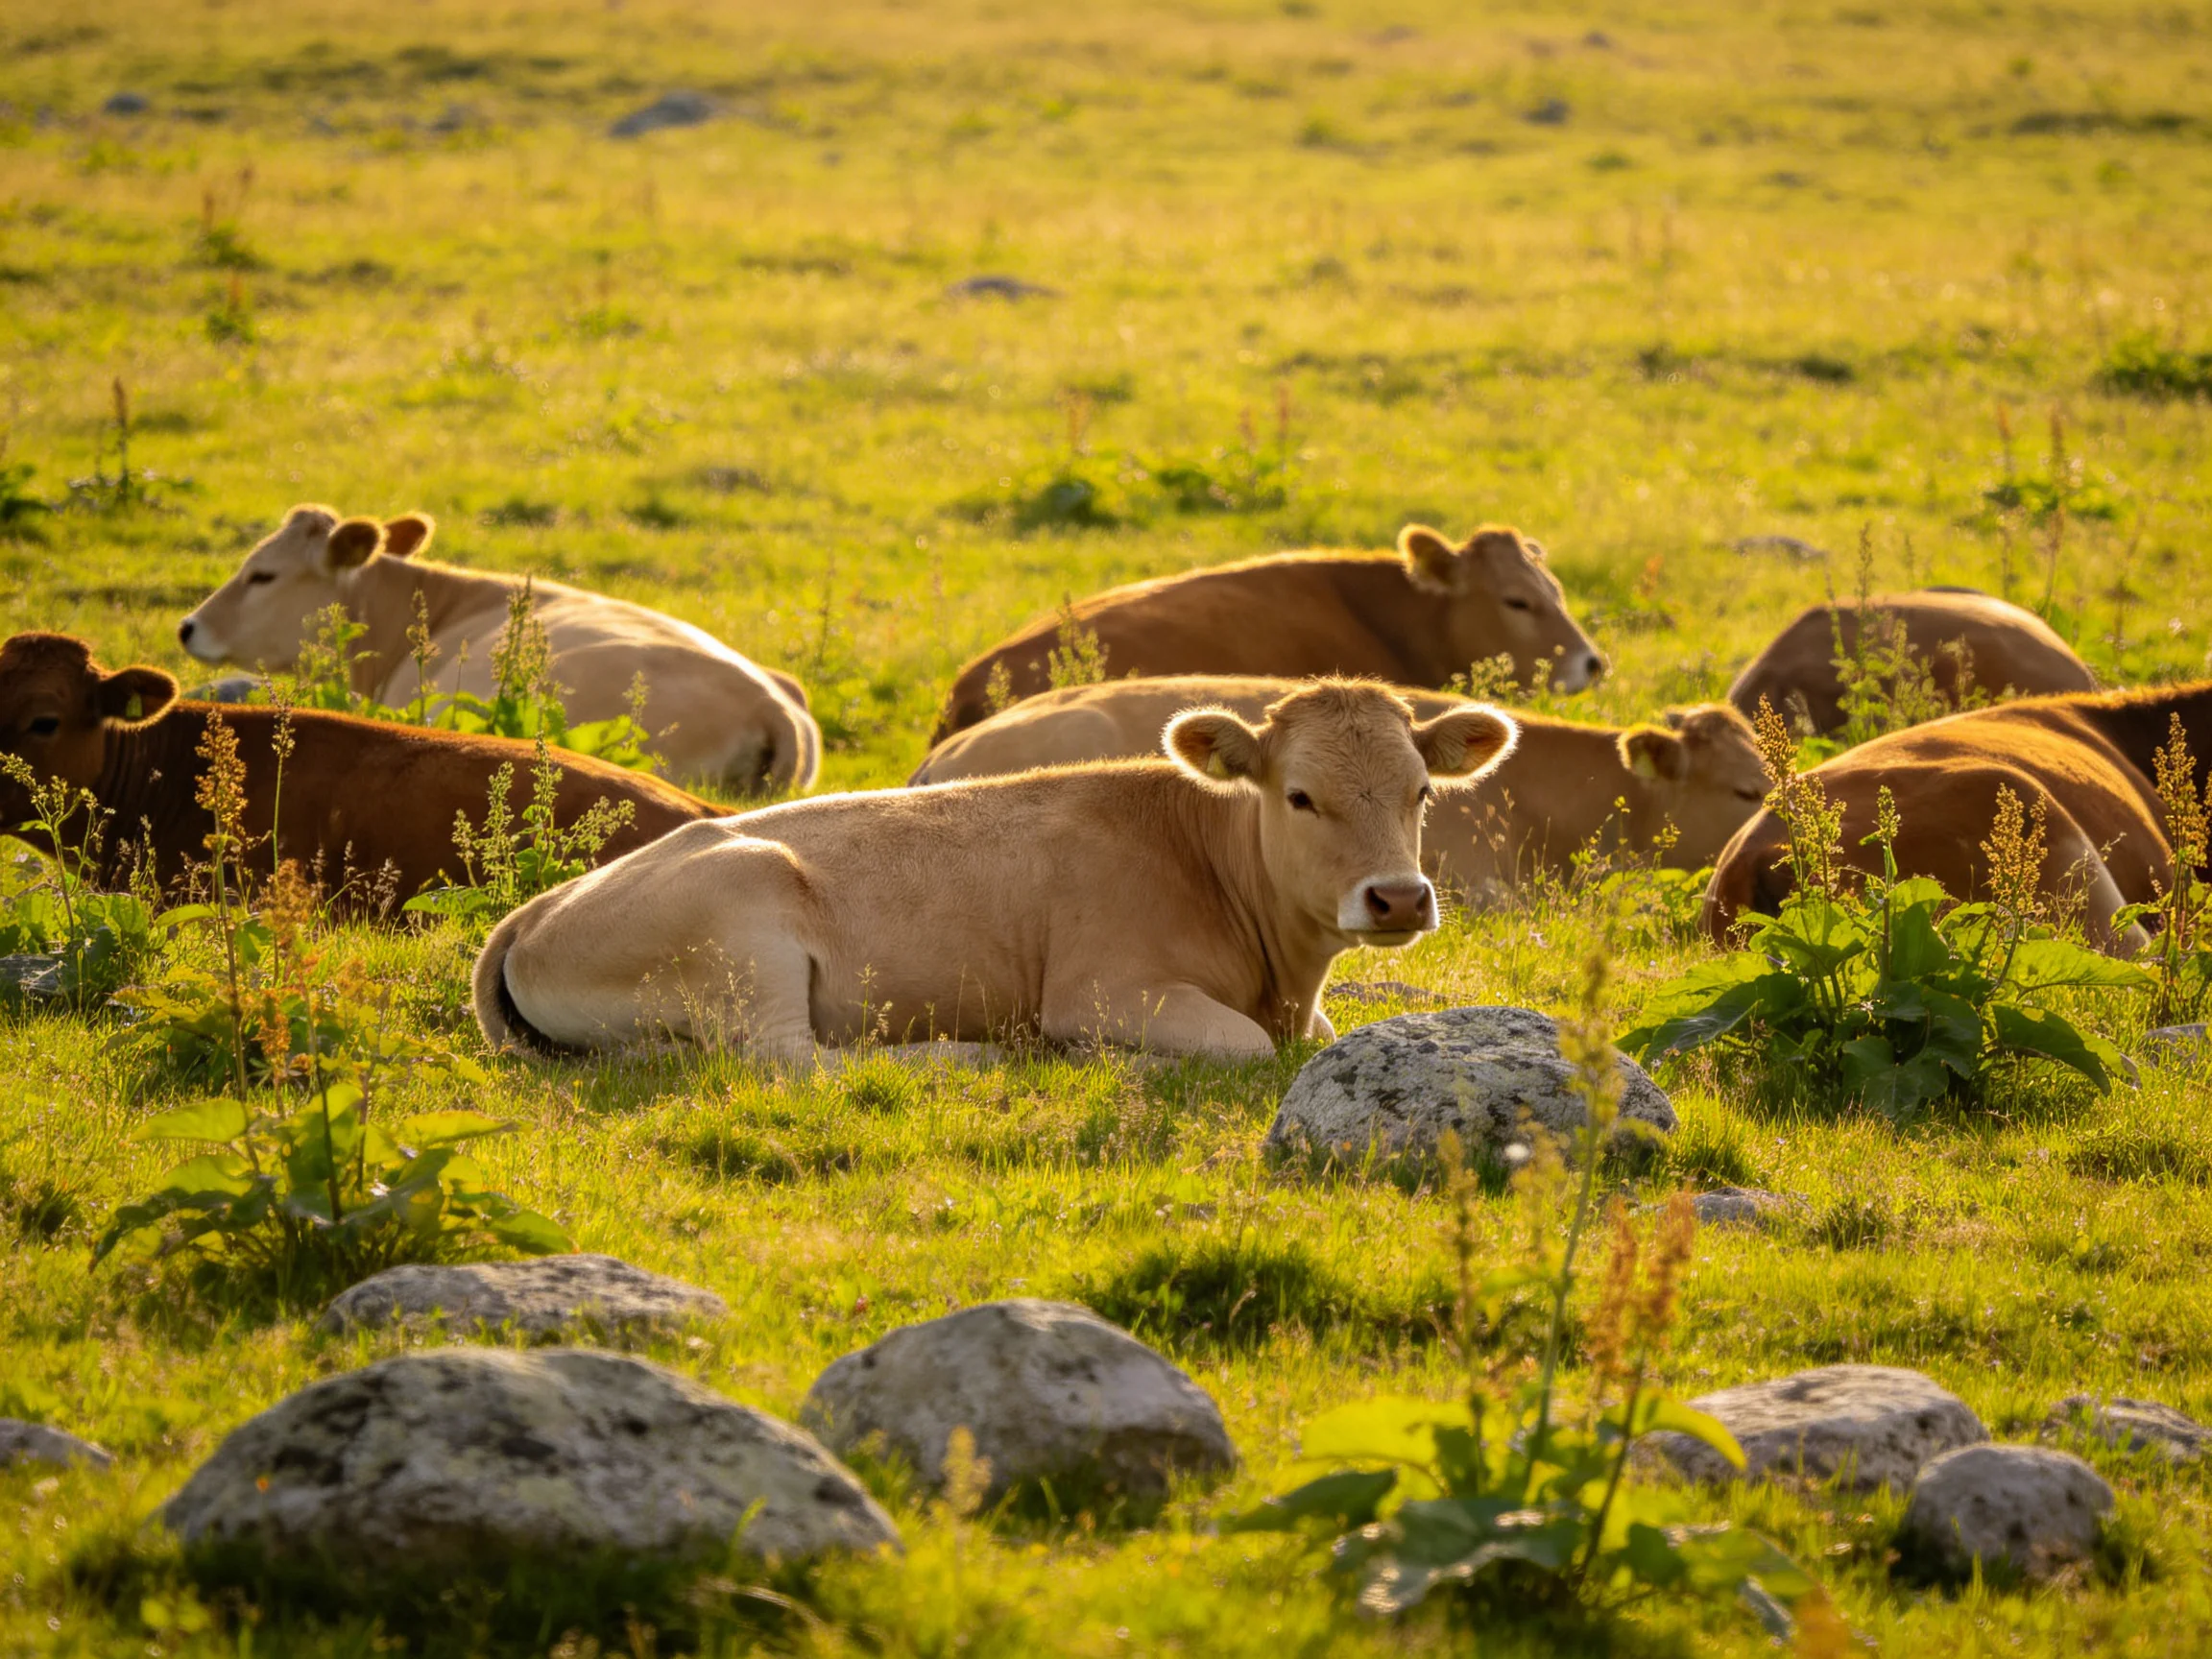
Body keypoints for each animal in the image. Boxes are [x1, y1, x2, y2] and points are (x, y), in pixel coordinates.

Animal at [472, 681, 1518, 1061]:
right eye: (1300, 796)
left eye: (1422, 790)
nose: (1397, 897)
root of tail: (535, 912)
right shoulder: (1104, 990)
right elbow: (1248, 1047)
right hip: (746, 929)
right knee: (795, 1061)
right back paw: (966, 1054)